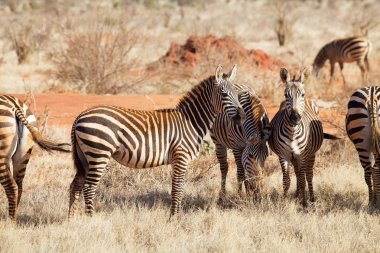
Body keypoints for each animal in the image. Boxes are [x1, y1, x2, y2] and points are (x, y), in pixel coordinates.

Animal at [68, 65, 245, 217]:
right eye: (224, 94)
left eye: (237, 94)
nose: (241, 116)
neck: (191, 122)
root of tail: (79, 117)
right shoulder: (181, 156)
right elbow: (177, 190)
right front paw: (174, 219)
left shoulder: (178, 160)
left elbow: (178, 188)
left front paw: (176, 216)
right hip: (99, 153)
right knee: (89, 187)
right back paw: (90, 219)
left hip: (85, 157)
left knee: (75, 185)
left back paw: (73, 220)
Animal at [268, 68, 326, 207]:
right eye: (286, 95)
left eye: (302, 95)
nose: (294, 117)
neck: (292, 133)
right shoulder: (283, 155)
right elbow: (286, 180)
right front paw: (284, 201)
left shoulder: (301, 155)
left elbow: (302, 178)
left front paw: (304, 203)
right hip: (294, 158)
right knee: (298, 174)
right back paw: (297, 196)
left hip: (310, 154)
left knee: (308, 175)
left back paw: (311, 198)